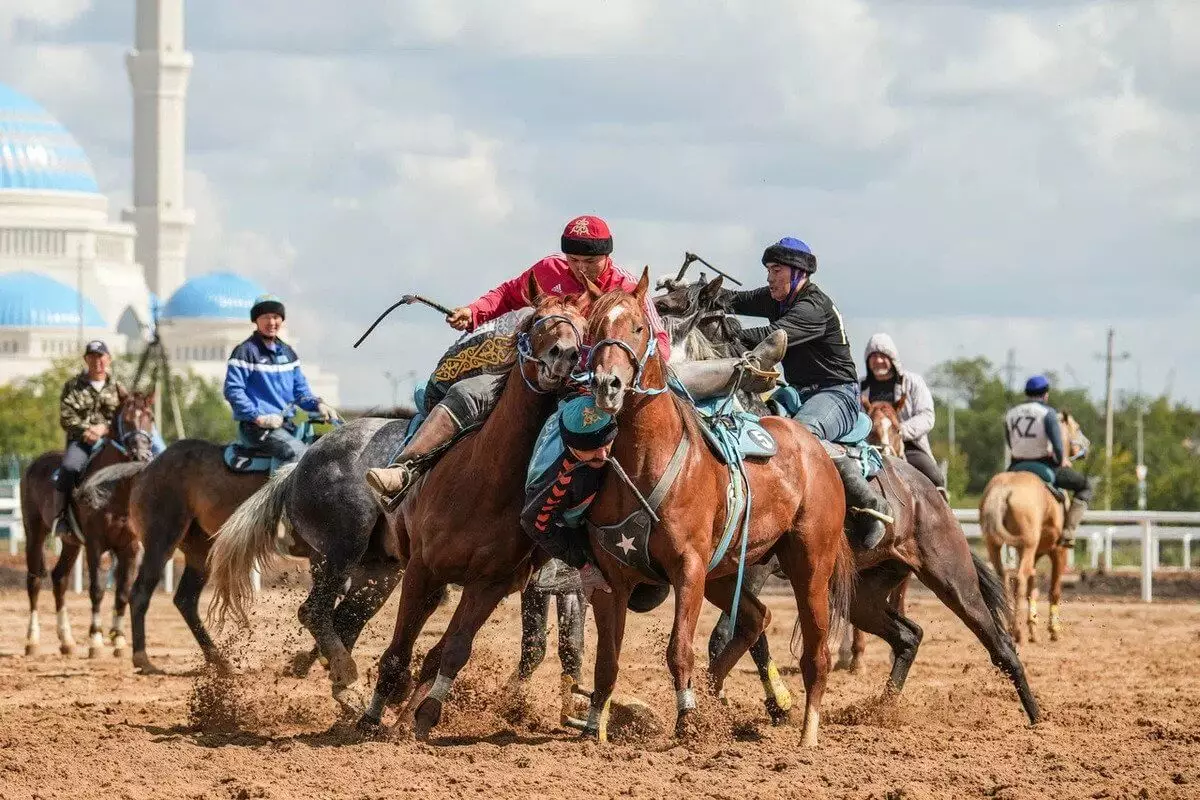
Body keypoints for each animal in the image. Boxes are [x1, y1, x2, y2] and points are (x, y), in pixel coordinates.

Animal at [19, 391, 157, 662]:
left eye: (151, 417)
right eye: (126, 419)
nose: (142, 455)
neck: (115, 489)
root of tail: (33, 464)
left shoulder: (131, 548)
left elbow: (122, 592)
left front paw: (119, 641)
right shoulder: (96, 545)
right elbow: (97, 589)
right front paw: (96, 641)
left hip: (70, 543)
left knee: (59, 579)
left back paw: (67, 641)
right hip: (34, 533)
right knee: (35, 581)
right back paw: (32, 641)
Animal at [338, 281, 595, 738]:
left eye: (583, 329)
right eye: (536, 319)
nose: (563, 354)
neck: (485, 482)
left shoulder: (490, 584)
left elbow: (455, 650)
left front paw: (424, 717)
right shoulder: (422, 568)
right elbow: (398, 650)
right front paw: (371, 718)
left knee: (430, 650)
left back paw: (404, 715)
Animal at [583, 272, 854, 748]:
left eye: (638, 327)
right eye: (596, 329)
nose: (607, 384)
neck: (647, 458)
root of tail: (817, 450)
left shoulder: (688, 568)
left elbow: (678, 649)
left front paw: (687, 721)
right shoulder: (612, 578)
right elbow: (606, 659)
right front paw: (595, 727)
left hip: (809, 566)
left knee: (816, 654)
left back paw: (807, 735)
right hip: (727, 574)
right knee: (755, 618)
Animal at [979, 412, 1084, 642]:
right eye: (1077, 427)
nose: (1083, 447)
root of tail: (1003, 490)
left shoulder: (1033, 554)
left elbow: (1032, 588)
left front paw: (1033, 629)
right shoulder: (1058, 551)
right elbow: (1053, 589)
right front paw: (1053, 630)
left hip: (995, 544)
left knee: (1003, 578)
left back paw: (1008, 626)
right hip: (1028, 545)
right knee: (1019, 578)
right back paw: (1016, 632)